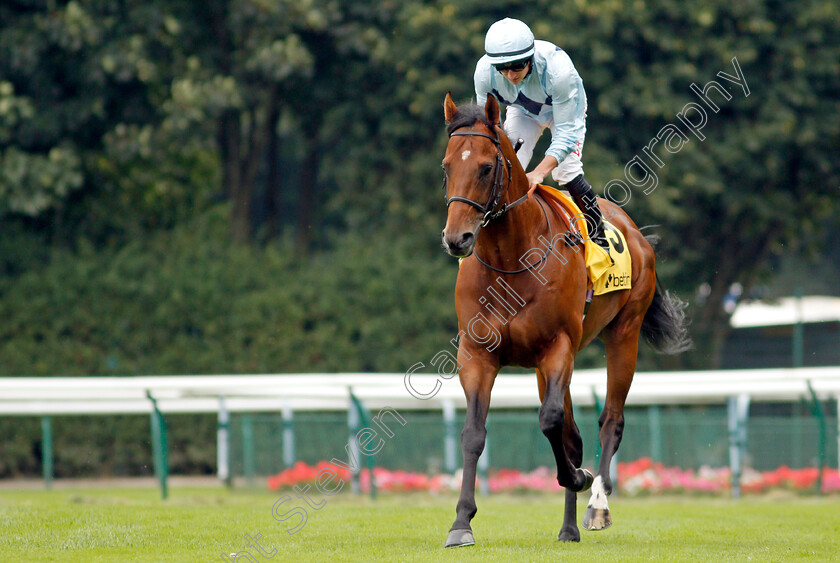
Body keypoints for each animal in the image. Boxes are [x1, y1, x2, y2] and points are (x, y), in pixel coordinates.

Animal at [440, 94, 688, 548]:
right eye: (447, 166)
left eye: (485, 167)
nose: (457, 239)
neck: (511, 259)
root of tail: (636, 232)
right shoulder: (477, 354)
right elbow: (474, 433)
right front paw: (461, 522)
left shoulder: (558, 346)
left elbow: (552, 421)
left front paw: (579, 479)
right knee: (573, 433)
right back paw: (569, 526)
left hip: (624, 333)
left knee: (610, 421)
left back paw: (595, 506)